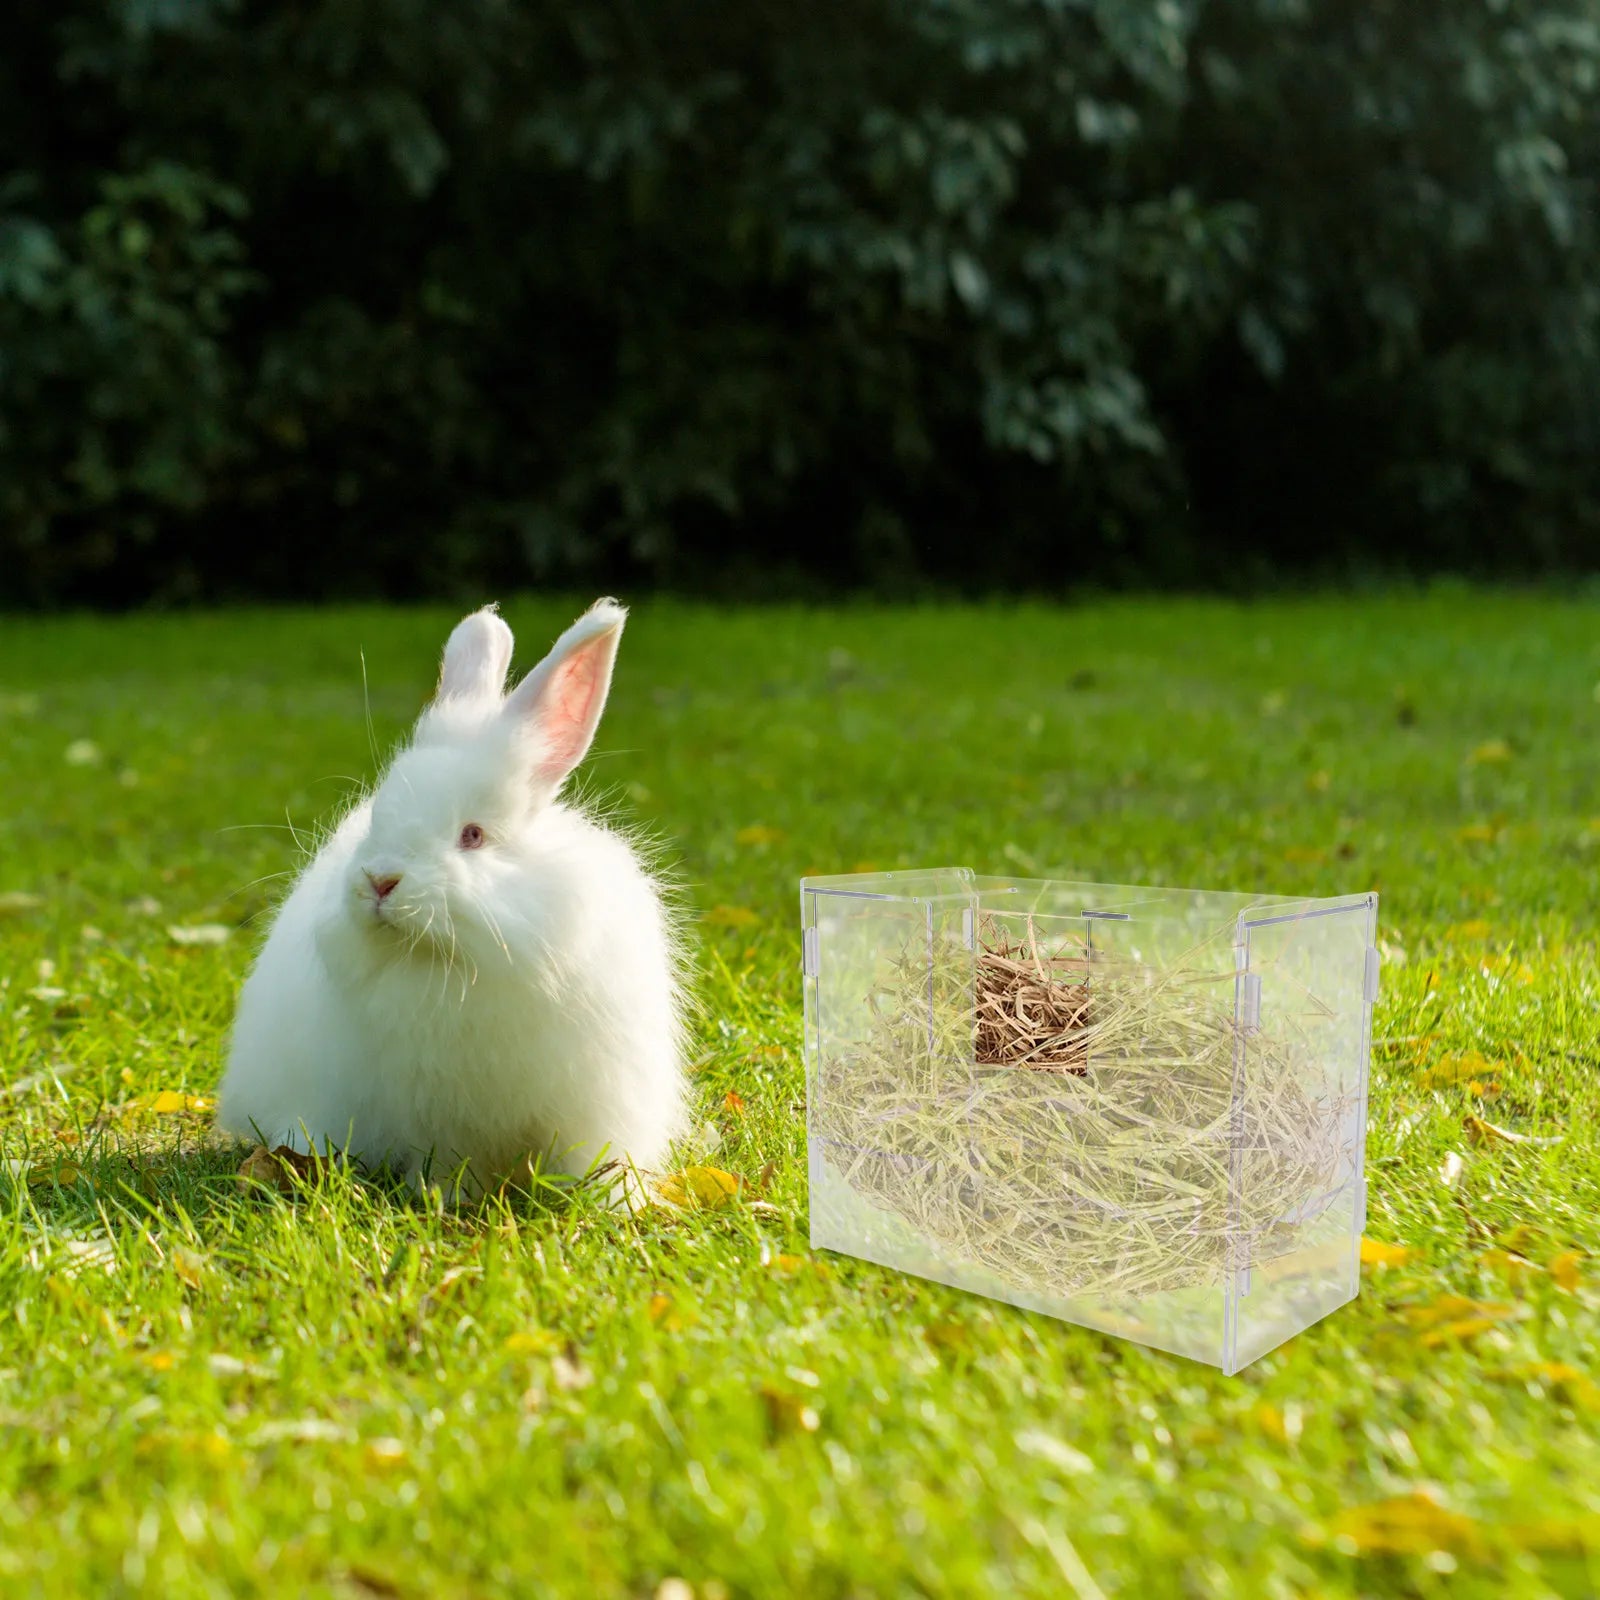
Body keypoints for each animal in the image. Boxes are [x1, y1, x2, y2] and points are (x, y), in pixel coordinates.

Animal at [216, 598, 689, 1200]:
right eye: (377, 817)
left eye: (473, 835)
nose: (380, 881)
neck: (455, 962)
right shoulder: (435, 1119)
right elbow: (446, 1164)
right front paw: (443, 1198)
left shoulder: (594, 1104)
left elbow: (594, 1163)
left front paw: (614, 1203)